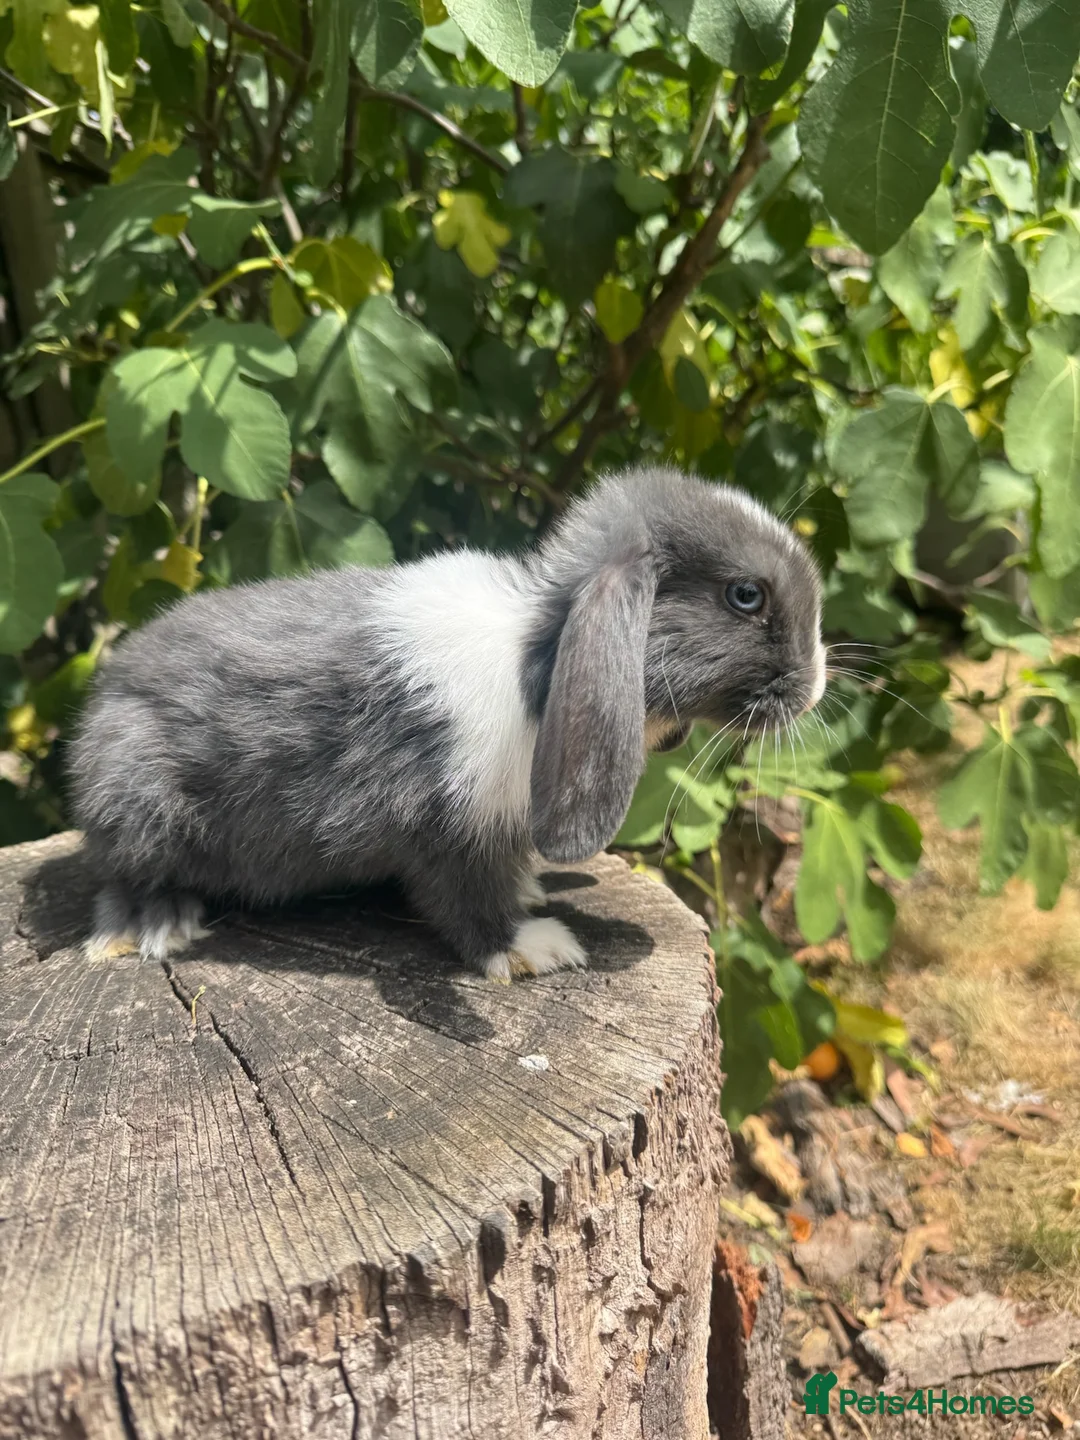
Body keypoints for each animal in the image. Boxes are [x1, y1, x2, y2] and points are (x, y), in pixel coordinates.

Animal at [70, 466, 826, 980]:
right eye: (745, 596)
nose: (817, 684)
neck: (541, 659)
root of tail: (100, 701)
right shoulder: (445, 827)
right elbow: (466, 902)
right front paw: (536, 948)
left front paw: (532, 889)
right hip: (139, 803)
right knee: (117, 875)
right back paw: (158, 925)